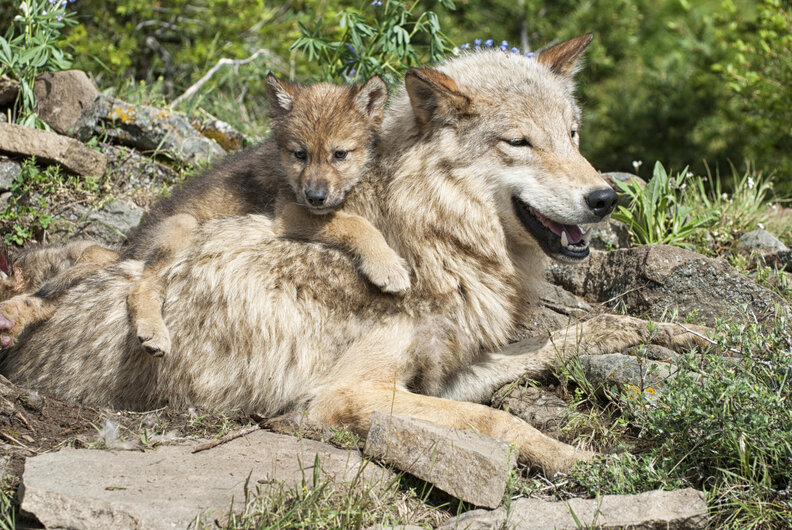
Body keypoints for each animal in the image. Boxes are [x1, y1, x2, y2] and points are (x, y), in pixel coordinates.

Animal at [0, 74, 409, 356]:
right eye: (300, 154)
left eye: (340, 154)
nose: (316, 196)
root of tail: (132, 246)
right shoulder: (288, 211)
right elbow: (355, 223)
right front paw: (388, 266)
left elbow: (350, 218)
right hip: (183, 227)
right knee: (139, 286)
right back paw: (154, 333)